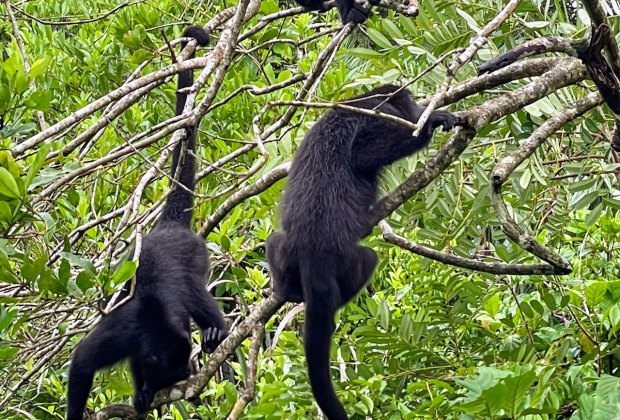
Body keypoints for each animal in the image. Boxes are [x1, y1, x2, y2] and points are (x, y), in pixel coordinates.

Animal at [66, 26, 230, 420]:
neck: (152, 327)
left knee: (200, 295)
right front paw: (142, 388)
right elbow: (83, 360)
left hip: (196, 254)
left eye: (182, 371)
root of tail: (168, 227)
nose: (186, 378)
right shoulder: (123, 333)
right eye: (172, 373)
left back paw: (216, 336)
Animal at [266, 83, 456, 418]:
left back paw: (287, 290)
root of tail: (315, 253)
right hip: (349, 261)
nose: (422, 108)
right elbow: (367, 154)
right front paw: (430, 123)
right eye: (411, 105)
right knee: (368, 259)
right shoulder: (377, 116)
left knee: (273, 242)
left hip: (286, 251)